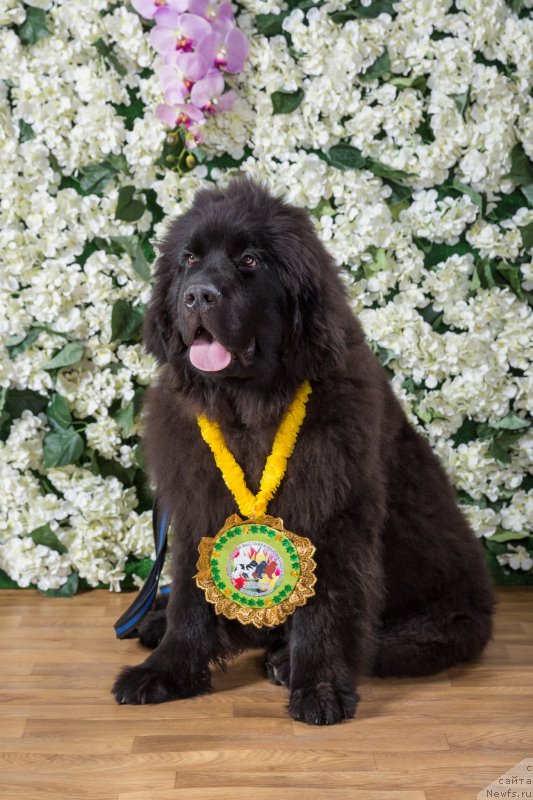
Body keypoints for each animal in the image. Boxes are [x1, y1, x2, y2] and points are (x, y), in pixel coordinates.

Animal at [112, 178, 494, 728]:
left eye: (249, 260)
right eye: (189, 259)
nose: (198, 295)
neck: (249, 407)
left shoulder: (331, 514)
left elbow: (325, 610)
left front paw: (318, 686)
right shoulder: (196, 505)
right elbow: (189, 598)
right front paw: (167, 670)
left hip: (447, 618)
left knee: (391, 641)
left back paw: (284, 661)